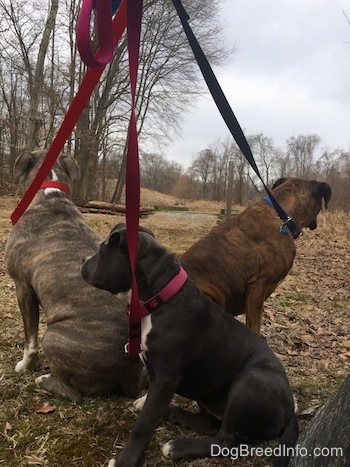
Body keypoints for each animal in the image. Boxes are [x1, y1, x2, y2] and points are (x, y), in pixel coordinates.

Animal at [4, 150, 142, 402]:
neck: (50, 191)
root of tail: (131, 368)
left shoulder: (23, 288)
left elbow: (30, 338)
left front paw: (25, 366)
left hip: (53, 337)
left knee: (74, 394)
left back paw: (44, 380)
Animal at [81, 225, 298, 466]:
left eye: (102, 251)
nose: (83, 260)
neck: (160, 299)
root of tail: (290, 410)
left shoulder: (166, 377)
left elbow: (144, 424)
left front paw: (125, 460)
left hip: (251, 381)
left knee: (225, 441)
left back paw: (178, 447)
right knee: (213, 424)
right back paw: (175, 414)